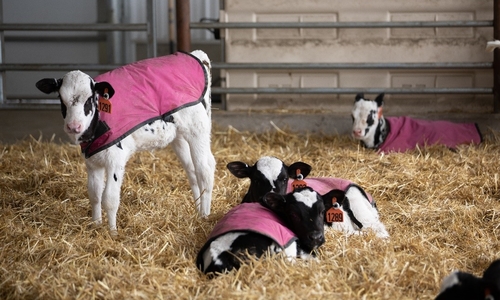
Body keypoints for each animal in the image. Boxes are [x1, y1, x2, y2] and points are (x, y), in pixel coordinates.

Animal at [34, 50, 215, 231]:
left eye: (89, 99)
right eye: (61, 99)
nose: (73, 126)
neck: (100, 119)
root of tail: (196, 55)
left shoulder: (115, 159)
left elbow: (110, 198)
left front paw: (112, 232)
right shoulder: (93, 162)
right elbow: (94, 193)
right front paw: (96, 225)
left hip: (197, 129)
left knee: (204, 170)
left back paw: (204, 215)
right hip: (179, 137)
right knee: (193, 169)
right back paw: (197, 208)